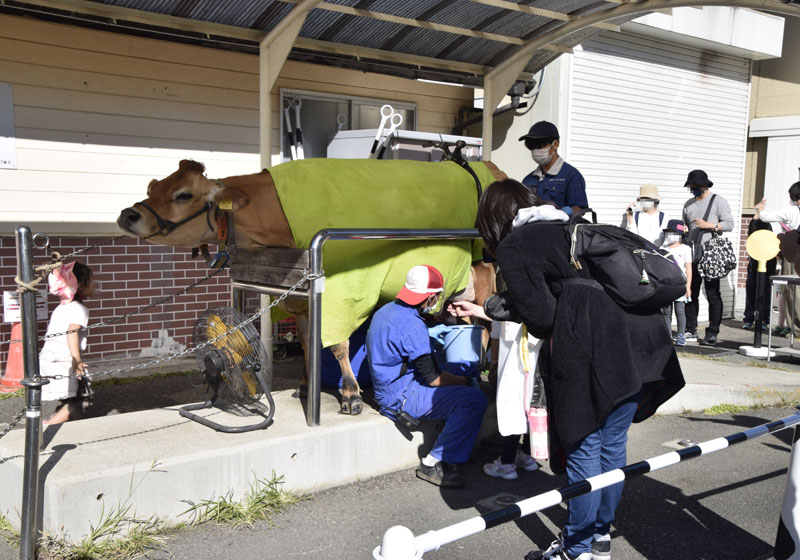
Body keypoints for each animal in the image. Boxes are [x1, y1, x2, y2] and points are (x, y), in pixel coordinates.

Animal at [117, 160, 506, 414]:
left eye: (183, 194)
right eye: (152, 186)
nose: (127, 215)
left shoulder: (342, 288)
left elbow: (337, 344)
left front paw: (350, 395)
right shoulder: (299, 298)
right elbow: (306, 342)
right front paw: (307, 386)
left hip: (488, 278)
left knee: (492, 328)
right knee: (475, 327)